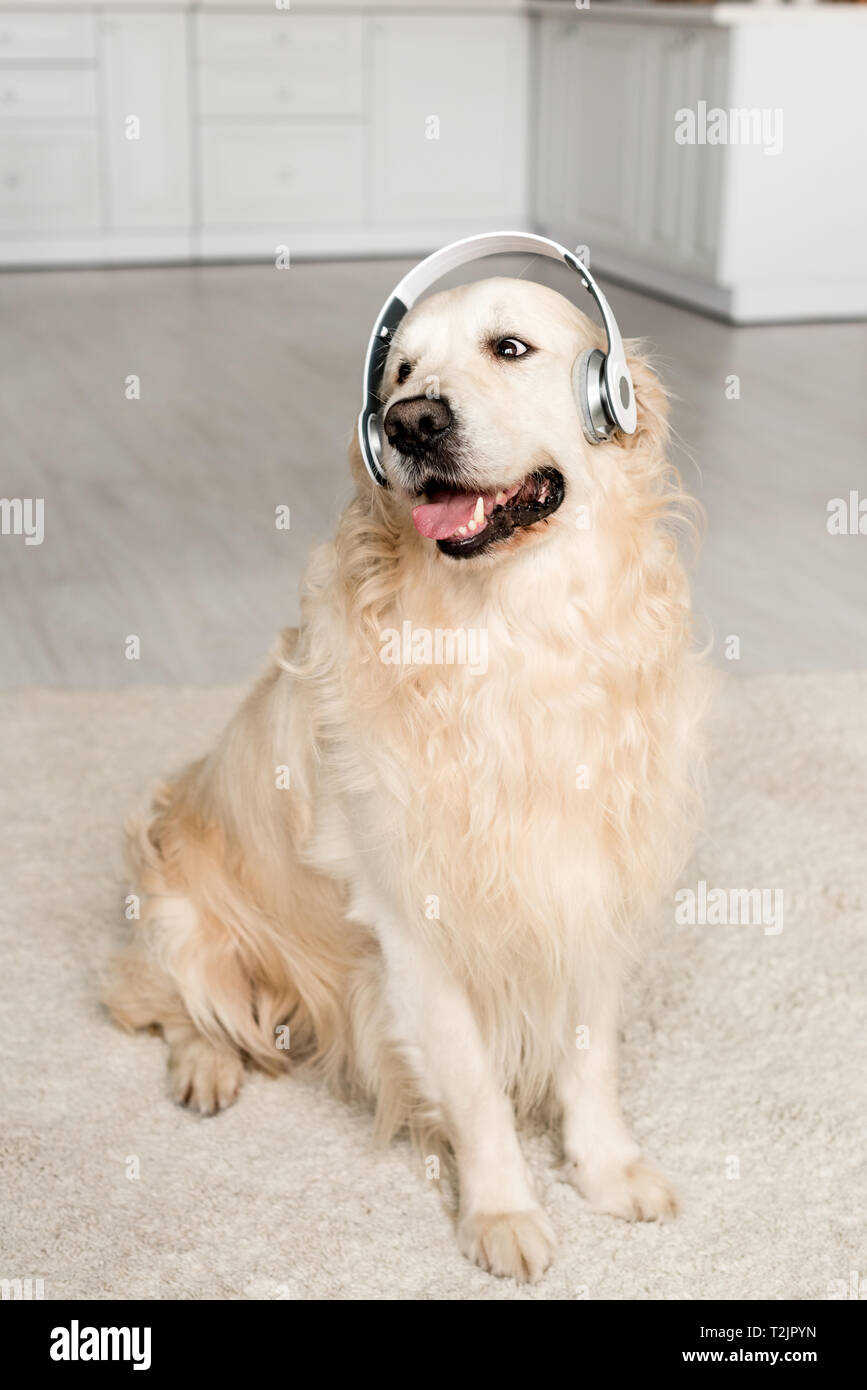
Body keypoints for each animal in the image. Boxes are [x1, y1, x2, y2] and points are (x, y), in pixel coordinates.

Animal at [106, 276, 705, 1284]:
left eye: (509, 348)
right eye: (399, 371)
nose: (410, 421)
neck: (514, 635)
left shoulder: (585, 885)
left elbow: (588, 1062)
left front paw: (606, 1170)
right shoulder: (414, 929)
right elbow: (475, 1089)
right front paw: (503, 1212)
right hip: (176, 908)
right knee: (174, 1003)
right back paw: (208, 1066)